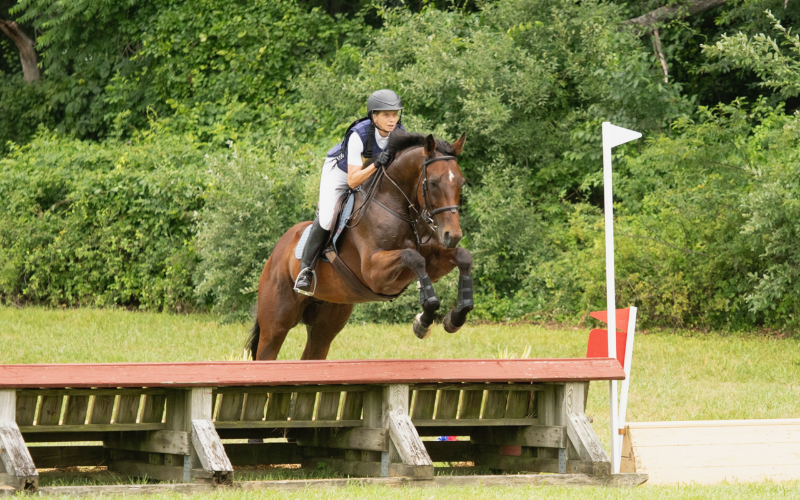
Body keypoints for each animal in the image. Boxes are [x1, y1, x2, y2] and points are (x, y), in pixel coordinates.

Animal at [246, 131, 474, 360]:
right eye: (433, 183)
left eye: (461, 182)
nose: (452, 235)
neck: (399, 209)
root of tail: (275, 253)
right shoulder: (374, 273)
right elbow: (412, 257)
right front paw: (423, 322)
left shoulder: (433, 264)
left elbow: (463, 256)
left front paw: (455, 317)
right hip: (275, 324)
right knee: (268, 350)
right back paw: (303, 278)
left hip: (326, 322)